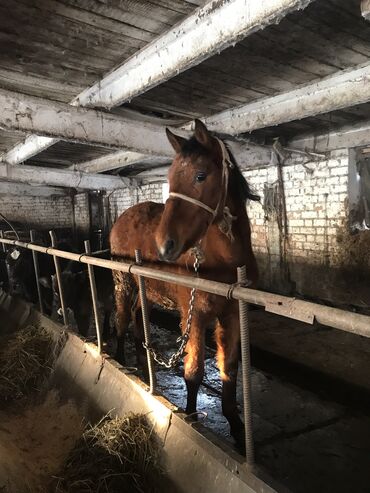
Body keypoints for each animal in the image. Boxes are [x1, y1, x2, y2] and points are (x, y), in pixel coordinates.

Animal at [110, 119, 258, 446]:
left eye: (200, 175)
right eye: (168, 178)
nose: (165, 246)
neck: (222, 261)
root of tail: (121, 217)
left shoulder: (231, 314)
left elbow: (229, 369)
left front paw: (236, 426)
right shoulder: (196, 316)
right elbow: (194, 372)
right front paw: (191, 417)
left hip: (143, 287)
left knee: (139, 320)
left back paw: (143, 362)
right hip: (123, 283)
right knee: (122, 320)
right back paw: (120, 359)